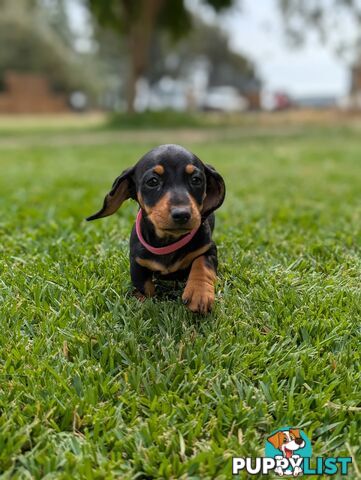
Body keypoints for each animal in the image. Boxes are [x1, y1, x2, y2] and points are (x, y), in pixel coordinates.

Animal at [86, 144, 224, 314]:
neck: (168, 241)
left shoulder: (209, 248)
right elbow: (143, 285)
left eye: (196, 180)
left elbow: (202, 264)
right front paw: (143, 301)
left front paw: (199, 293)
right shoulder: (137, 261)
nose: (182, 214)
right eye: (153, 181)